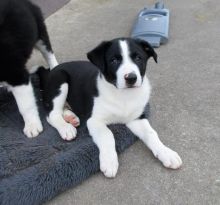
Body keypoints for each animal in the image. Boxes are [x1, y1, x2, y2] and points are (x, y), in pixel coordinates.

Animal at [0, 0, 58, 138]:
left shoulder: (16, 74)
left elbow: (25, 105)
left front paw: (32, 126)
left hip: (39, 30)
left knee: (48, 52)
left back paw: (55, 66)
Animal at [42, 38, 182, 178]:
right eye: (114, 60)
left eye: (138, 58)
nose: (131, 78)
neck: (123, 95)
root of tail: (52, 70)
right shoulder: (94, 121)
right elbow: (107, 135)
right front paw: (109, 162)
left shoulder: (137, 118)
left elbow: (151, 133)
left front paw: (167, 153)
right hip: (60, 80)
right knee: (52, 114)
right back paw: (66, 128)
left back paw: (71, 117)